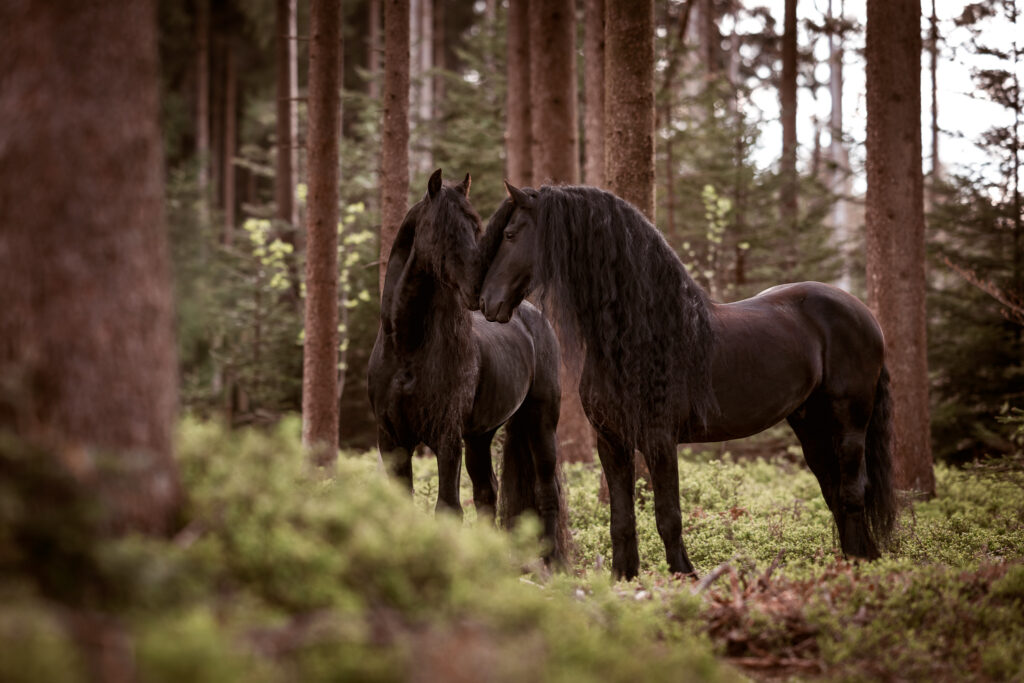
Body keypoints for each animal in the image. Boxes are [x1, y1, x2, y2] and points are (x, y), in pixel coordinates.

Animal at [366, 167, 565, 565]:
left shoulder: (445, 435)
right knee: (487, 492)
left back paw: (552, 564)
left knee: (546, 491)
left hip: (541, 422)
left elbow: (447, 508)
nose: (481, 292)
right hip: (479, 436)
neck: (406, 346)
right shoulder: (391, 438)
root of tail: (532, 316)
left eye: (475, 226)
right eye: (442, 229)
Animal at [479, 180, 897, 577]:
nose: (486, 303)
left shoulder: (660, 440)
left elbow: (669, 515)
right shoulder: (611, 442)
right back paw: (856, 560)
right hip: (810, 423)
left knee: (852, 491)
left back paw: (863, 564)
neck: (639, 338)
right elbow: (621, 520)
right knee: (833, 490)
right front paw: (622, 578)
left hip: (850, 420)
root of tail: (864, 313)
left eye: (511, 234)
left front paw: (683, 574)